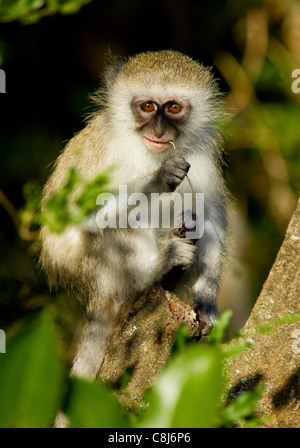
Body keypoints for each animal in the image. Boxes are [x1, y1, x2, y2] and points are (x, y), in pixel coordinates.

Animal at [39, 50, 227, 382]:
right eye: (148, 107)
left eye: (173, 107)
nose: (159, 132)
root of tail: (95, 293)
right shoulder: (102, 149)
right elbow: (76, 216)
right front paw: (160, 178)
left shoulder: (201, 156)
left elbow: (210, 221)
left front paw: (206, 299)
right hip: (102, 271)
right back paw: (154, 271)